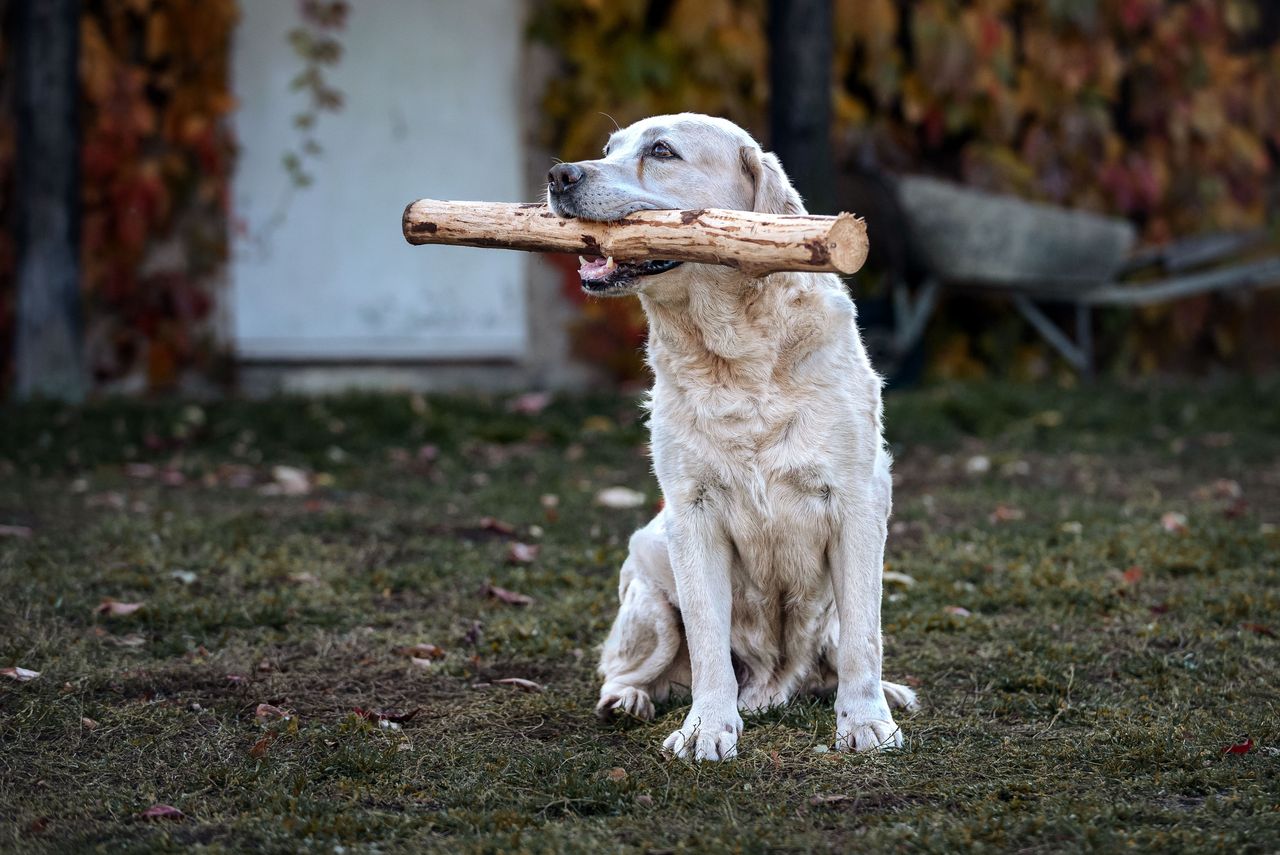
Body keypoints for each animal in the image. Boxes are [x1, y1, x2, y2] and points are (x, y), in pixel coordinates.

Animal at [545, 113, 916, 762]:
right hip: (648, 593)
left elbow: (863, 640)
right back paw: (629, 700)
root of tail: (775, 682)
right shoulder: (691, 514)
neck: (735, 357)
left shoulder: (858, 503)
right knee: (626, 668)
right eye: (608, 149)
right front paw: (707, 729)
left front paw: (867, 722)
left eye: (661, 151)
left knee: (834, 656)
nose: (560, 175)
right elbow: (709, 641)